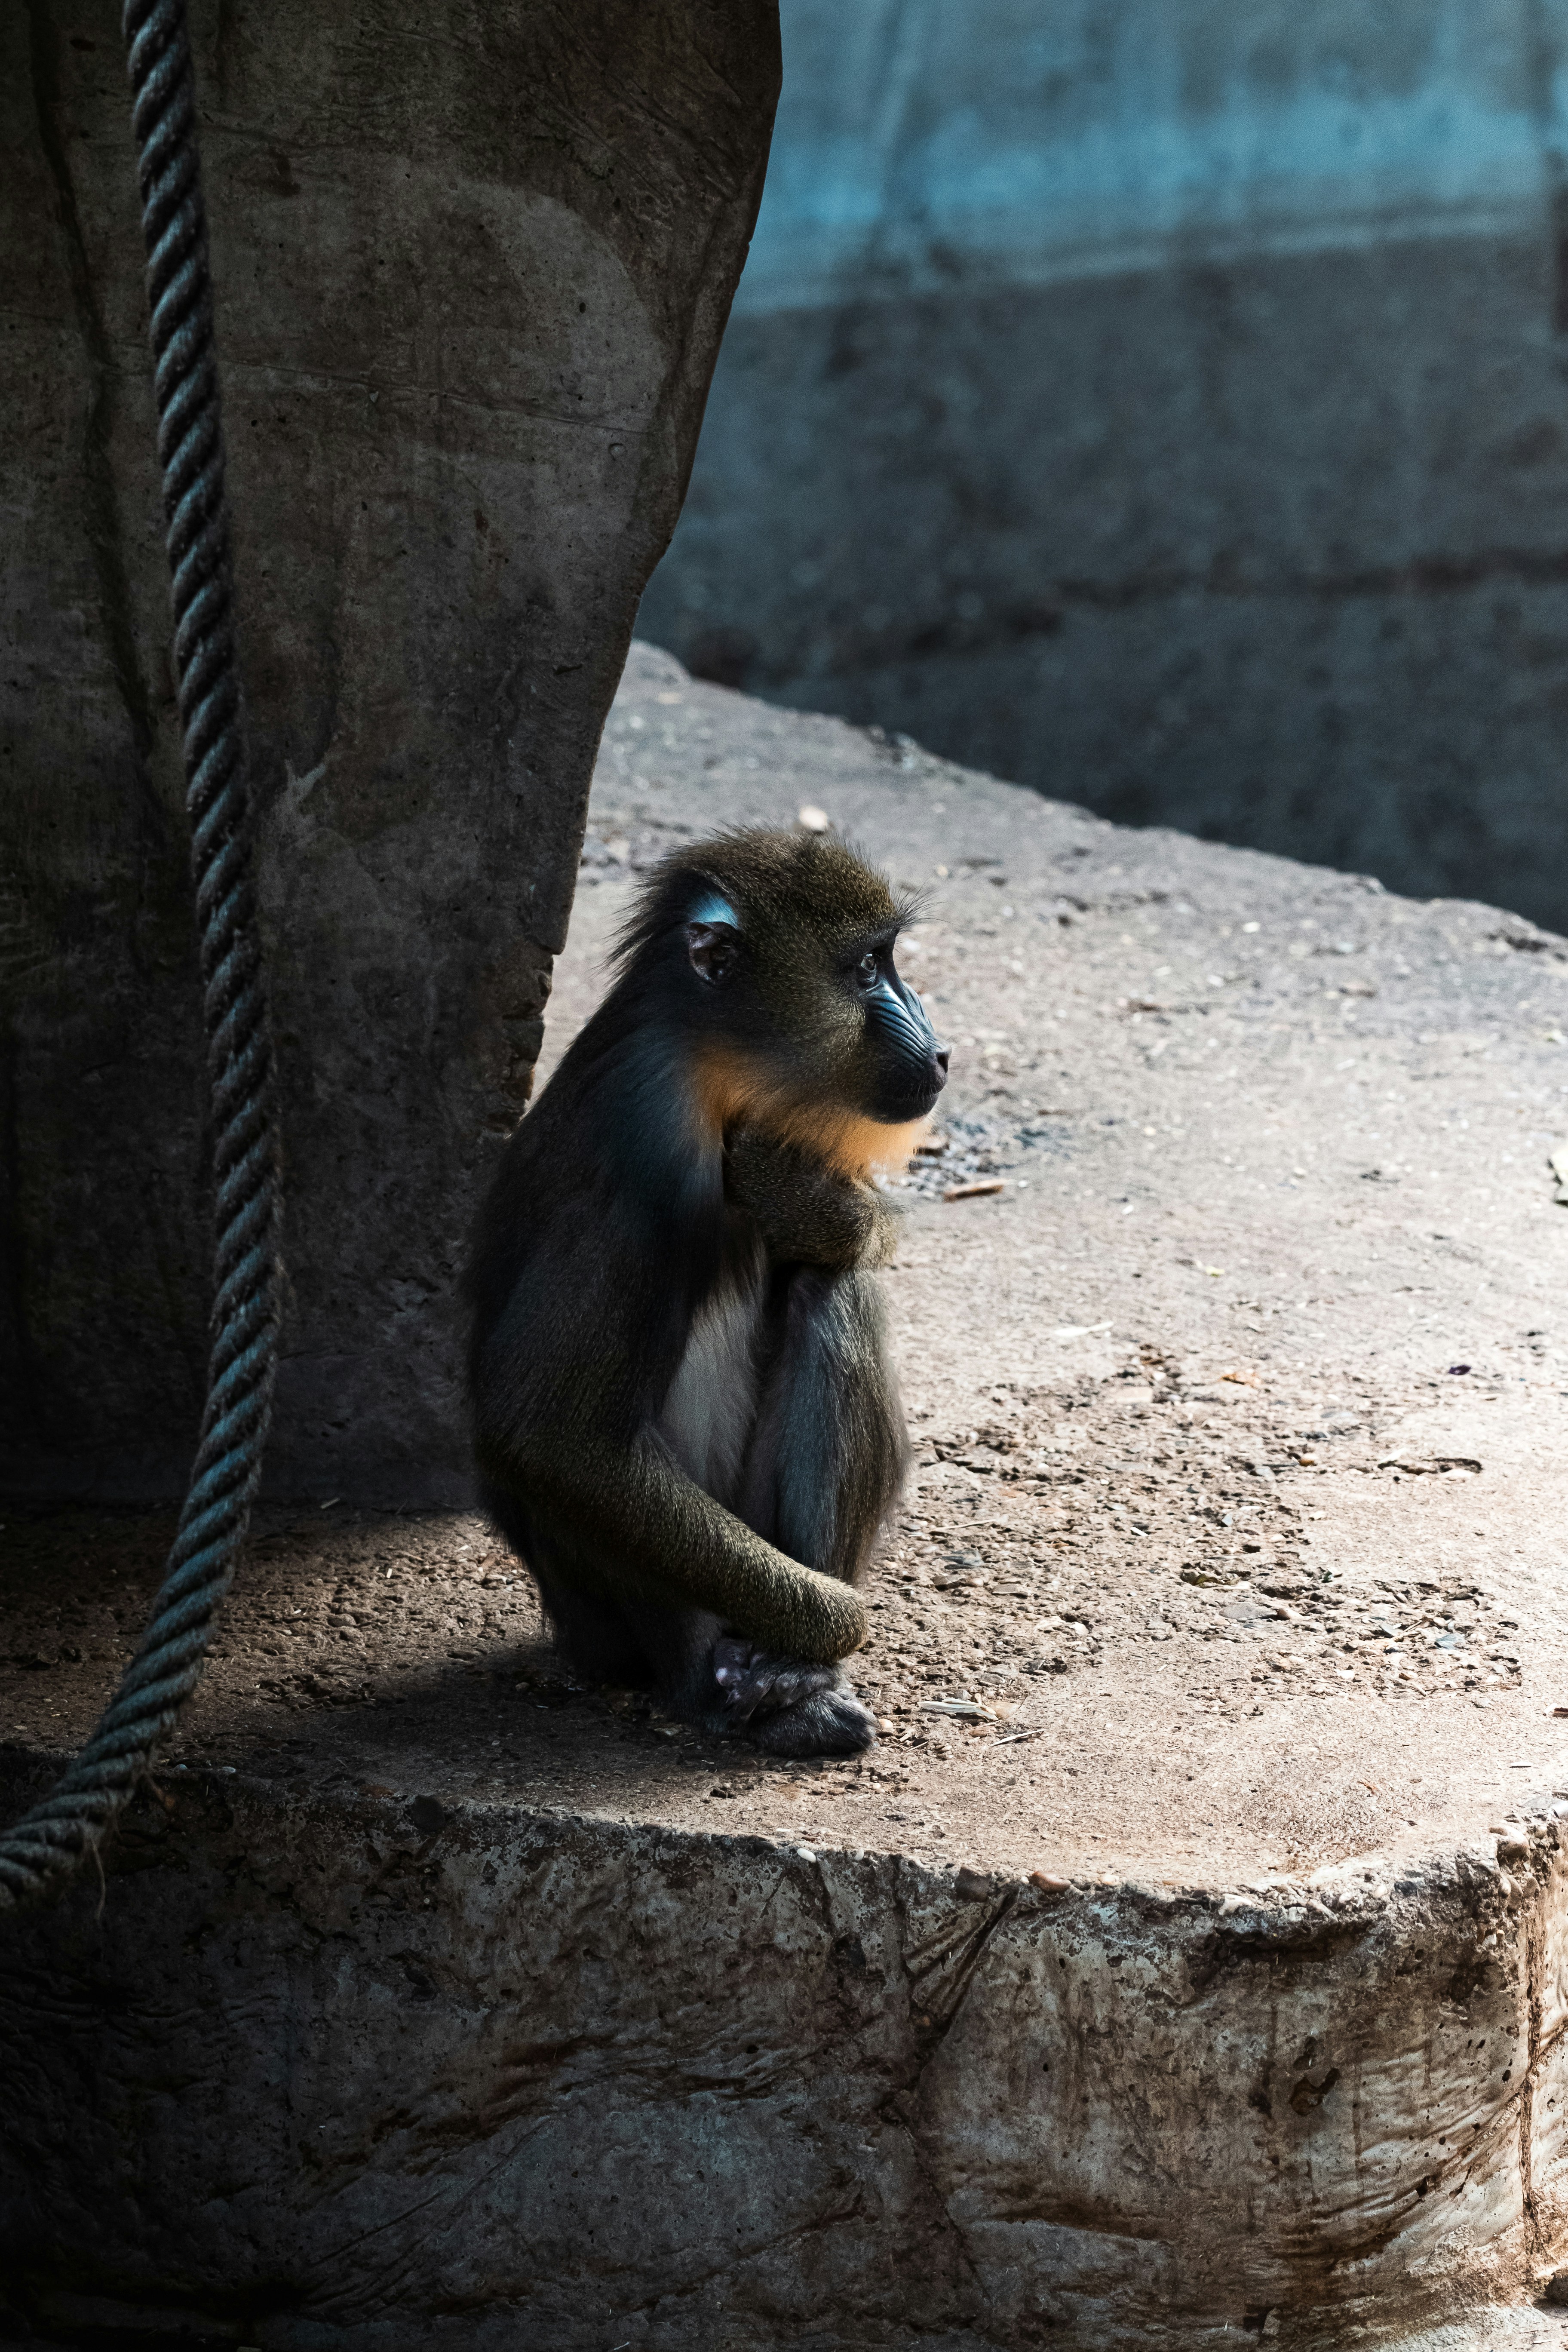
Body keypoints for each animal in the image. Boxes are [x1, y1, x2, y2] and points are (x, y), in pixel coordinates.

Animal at [465, 826, 949, 1758]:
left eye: (887, 961)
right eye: (865, 971)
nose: (938, 1050)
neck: (707, 1063)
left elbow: (836, 1237)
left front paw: (797, 1199)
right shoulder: (645, 1147)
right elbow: (552, 1434)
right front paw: (840, 1622)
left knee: (834, 1293)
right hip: (609, 1612)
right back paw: (744, 1682)